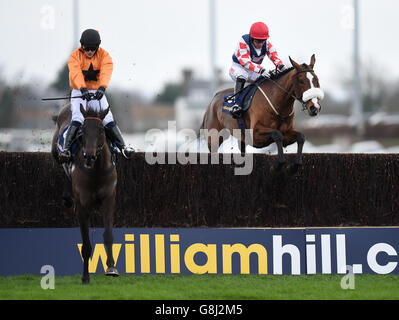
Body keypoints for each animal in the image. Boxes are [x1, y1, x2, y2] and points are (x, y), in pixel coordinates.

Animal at [50, 103, 119, 284]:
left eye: (101, 130)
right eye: (83, 131)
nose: (89, 156)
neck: (97, 171)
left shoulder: (109, 200)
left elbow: (108, 235)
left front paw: (111, 267)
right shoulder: (82, 207)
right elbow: (86, 244)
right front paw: (85, 277)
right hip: (55, 152)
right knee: (61, 163)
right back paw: (67, 196)